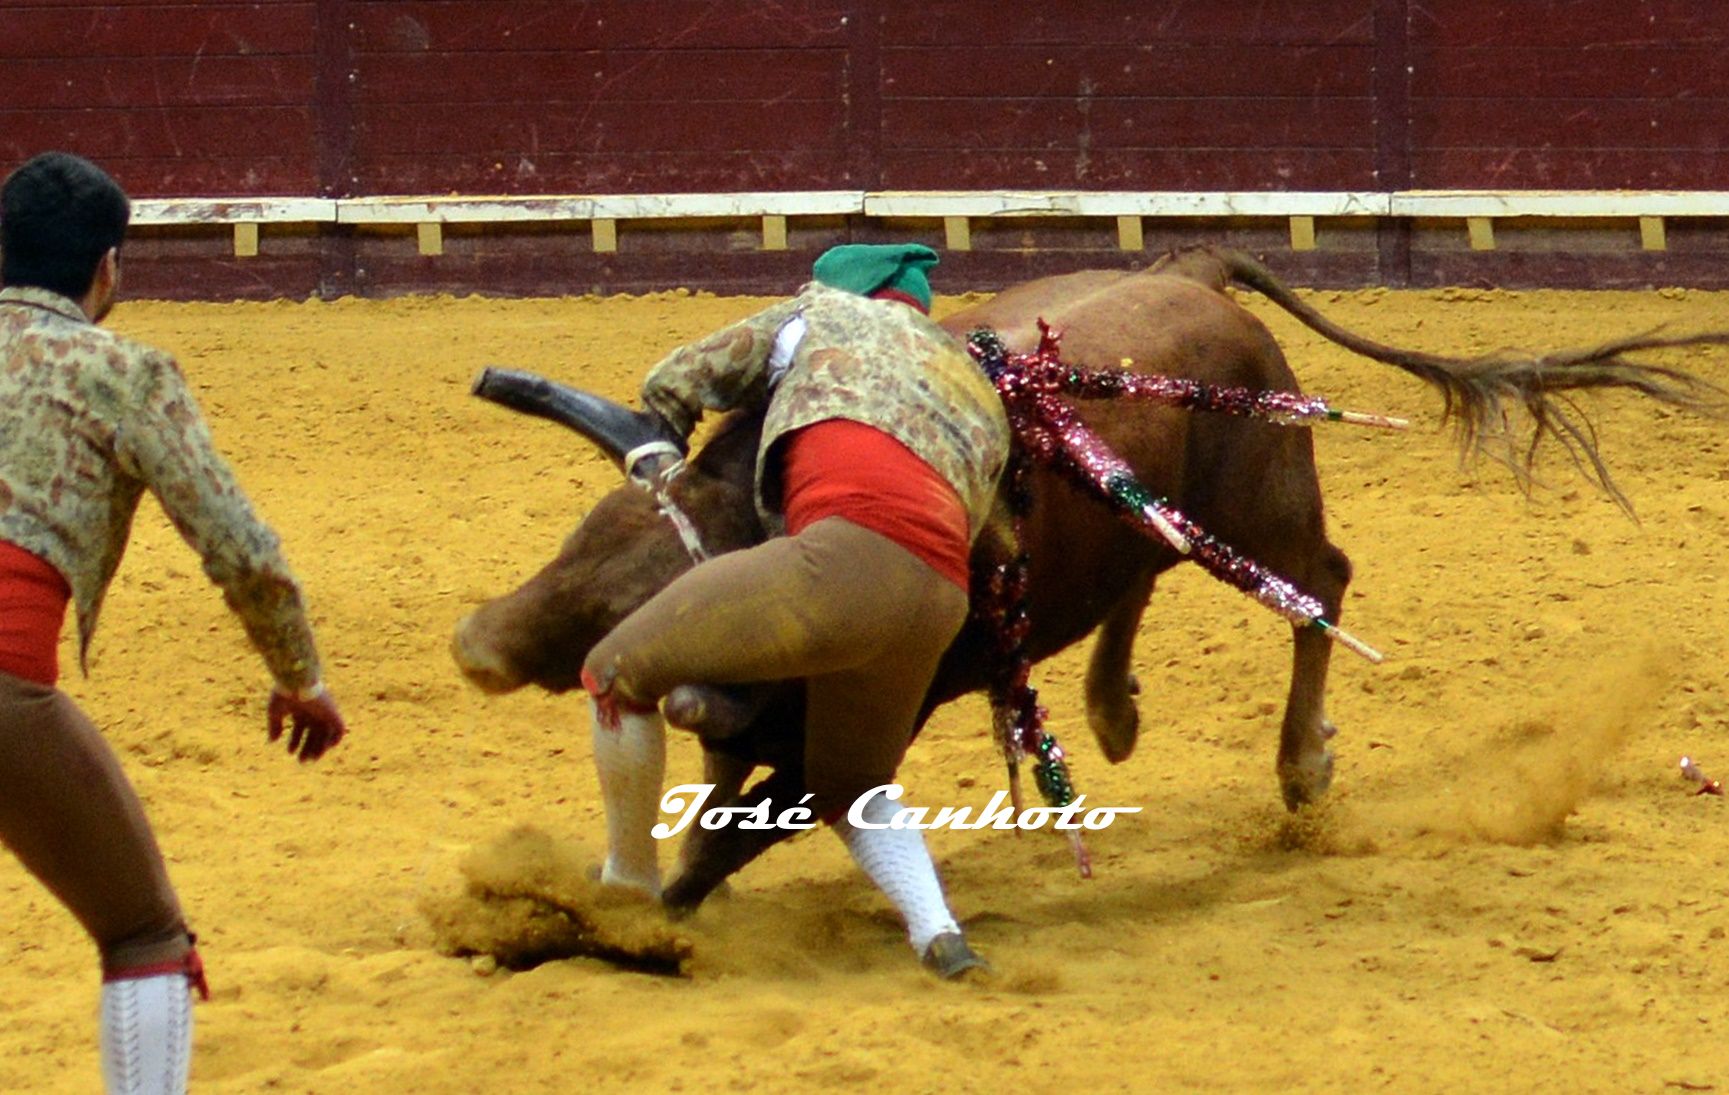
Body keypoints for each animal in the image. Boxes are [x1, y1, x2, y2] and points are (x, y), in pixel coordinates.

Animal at [451, 245, 1725, 913]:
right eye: (579, 542)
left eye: (629, 595)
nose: (481, 644)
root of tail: (1189, 266)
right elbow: (722, 805)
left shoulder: (871, 712)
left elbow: (747, 823)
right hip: (1145, 514)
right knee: (1147, 570)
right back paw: (1113, 712)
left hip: (1262, 496)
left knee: (1314, 587)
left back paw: (1300, 766)